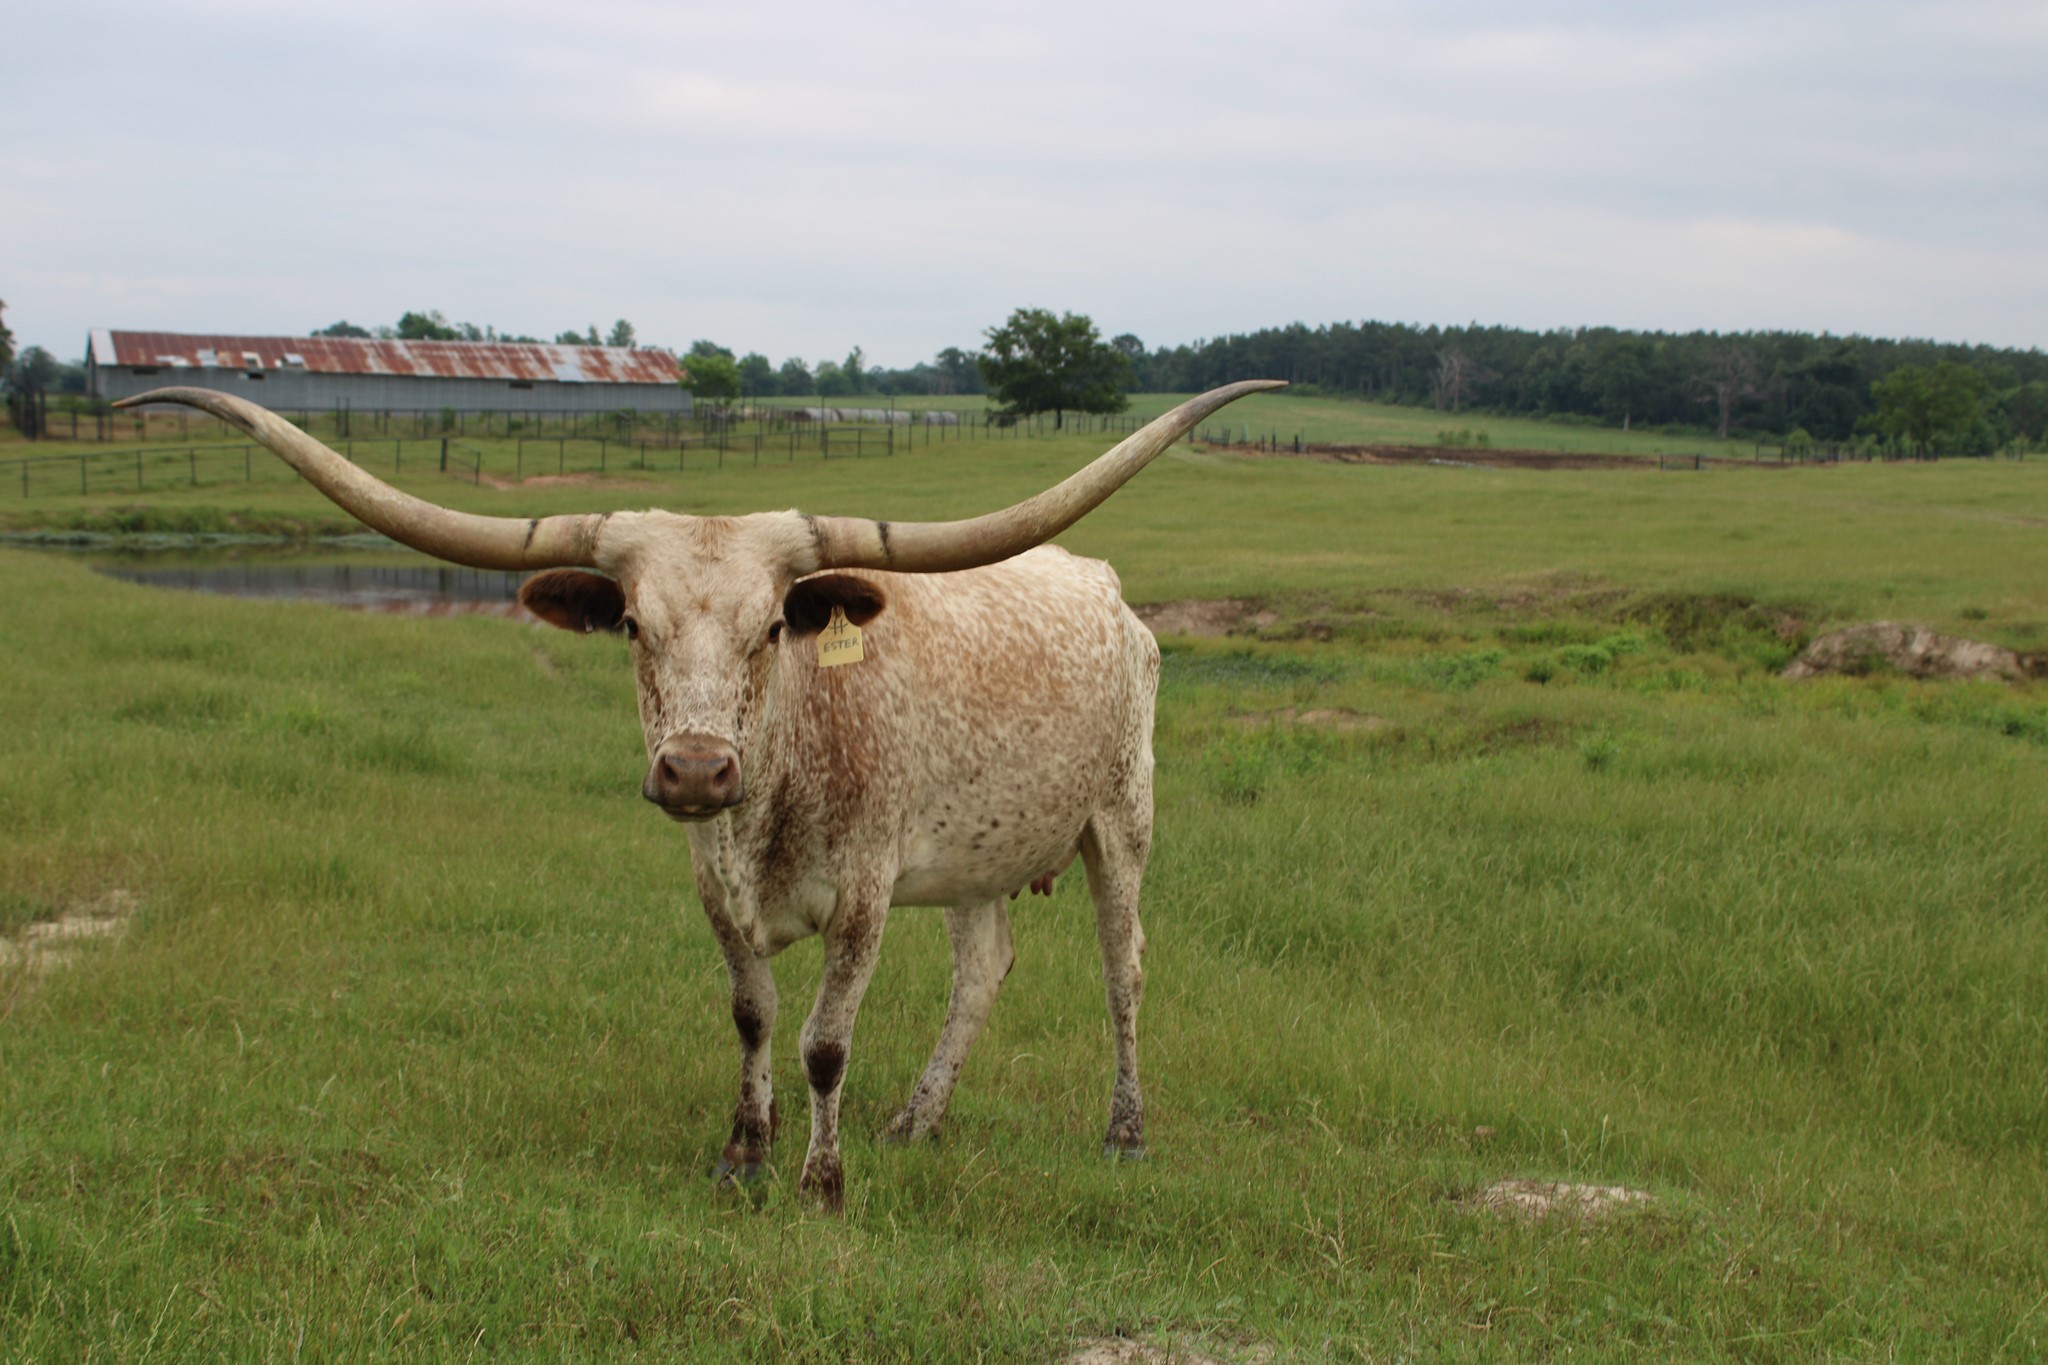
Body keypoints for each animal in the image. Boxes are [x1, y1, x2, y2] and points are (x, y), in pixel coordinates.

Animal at [117, 380, 1282, 1208]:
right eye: (633, 623)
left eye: (771, 627)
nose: (692, 769)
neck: (775, 780)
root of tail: (1109, 588)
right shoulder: (712, 883)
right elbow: (752, 1014)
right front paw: (744, 1157)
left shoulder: (864, 893)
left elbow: (822, 1041)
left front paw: (822, 1184)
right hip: (974, 856)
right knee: (983, 968)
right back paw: (916, 1123)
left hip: (1120, 819)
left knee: (1124, 970)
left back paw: (1122, 1134)